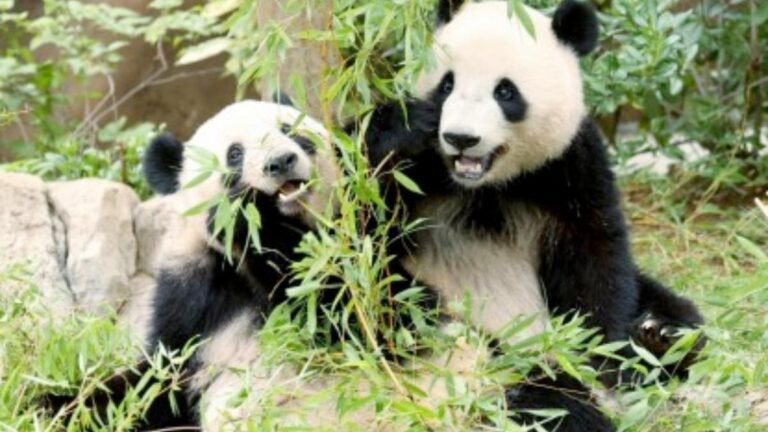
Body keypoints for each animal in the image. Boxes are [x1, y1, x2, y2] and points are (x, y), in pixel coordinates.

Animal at [358, 0, 704, 430]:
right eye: (447, 84)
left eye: (505, 91)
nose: (460, 138)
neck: (482, 184)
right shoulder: (409, 176)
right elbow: (354, 250)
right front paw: (402, 128)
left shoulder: (569, 166)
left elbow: (594, 263)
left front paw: (602, 359)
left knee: (667, 307)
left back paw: (661, 335)